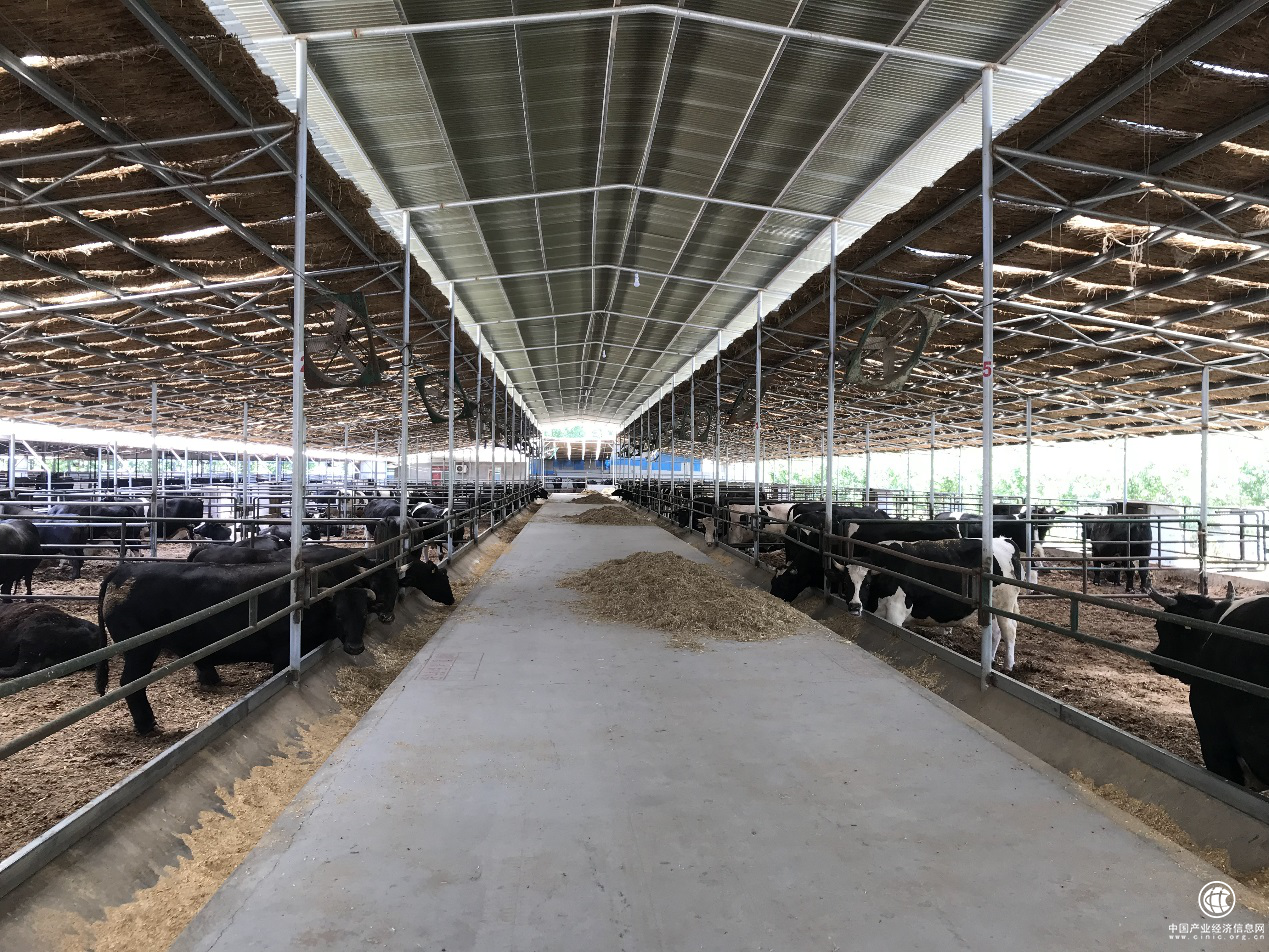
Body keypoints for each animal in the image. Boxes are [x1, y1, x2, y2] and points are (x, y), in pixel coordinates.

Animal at [96, 561, 372, 735]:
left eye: (364, 615)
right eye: (339, 615)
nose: (356, 647)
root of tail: (124, 569)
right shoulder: (283, 650)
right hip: (140, 649)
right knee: (130, 683)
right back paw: (147, 725)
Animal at [847, 537, 1024, 671]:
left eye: (867, 584)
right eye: (846, 582)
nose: (854, 606)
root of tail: (1005, 541)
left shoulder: (896, 611)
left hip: (1005, 603)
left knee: (1009, 631)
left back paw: (1008, 666)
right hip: (993, 607)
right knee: (996, 632)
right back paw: (991, 659)